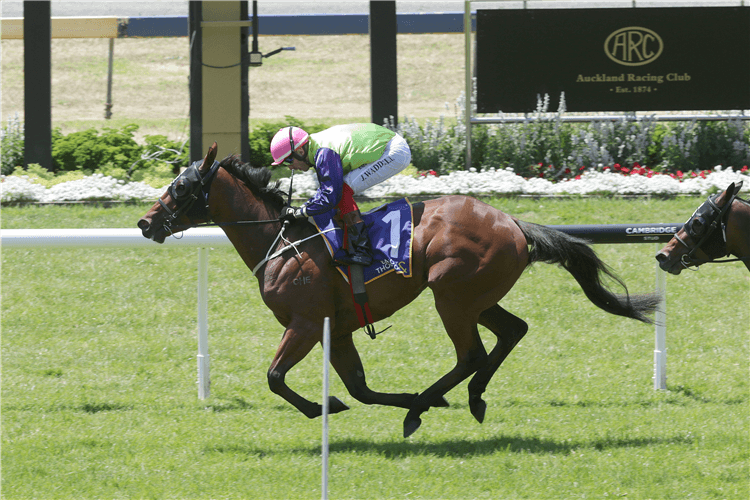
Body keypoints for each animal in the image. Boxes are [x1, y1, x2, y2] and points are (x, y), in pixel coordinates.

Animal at [138, 143, 660, 436]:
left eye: (181, 187)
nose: (145, 223)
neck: (281, 241)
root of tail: (513, 223)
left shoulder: (305, 324)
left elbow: (275, 377)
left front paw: (325, 406)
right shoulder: (337, 329)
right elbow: (361, 388)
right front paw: (370, 400)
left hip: (451, 293)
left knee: (471, 353)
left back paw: (431, 404)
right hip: (478, 296)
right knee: (512, 331)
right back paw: (470, 398)